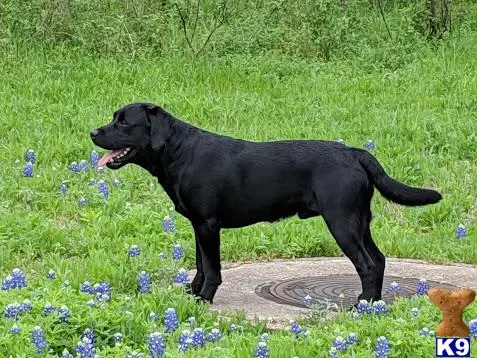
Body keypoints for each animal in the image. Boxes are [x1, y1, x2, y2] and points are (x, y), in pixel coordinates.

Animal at [90, 103, 442, 304]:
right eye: (113, 118)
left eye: (124, 123)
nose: (93, 132)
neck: (178, 152)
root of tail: (355, 152)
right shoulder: (197, 225)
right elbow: (201, 264)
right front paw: (192, 293)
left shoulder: (208, 225)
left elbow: (212, 268)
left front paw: (204, 299)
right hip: (359, 221)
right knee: (379, 260)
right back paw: (374, 302)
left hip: (342, 222)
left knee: (367, 264)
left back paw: (362, 304)